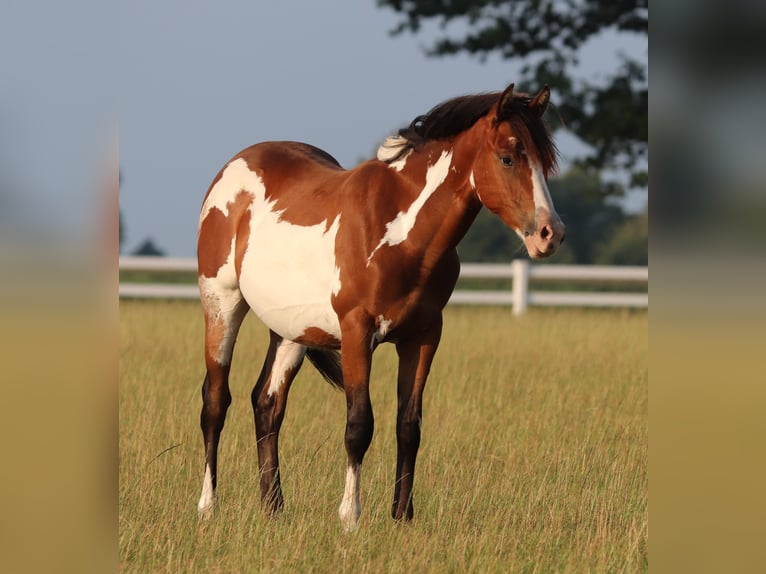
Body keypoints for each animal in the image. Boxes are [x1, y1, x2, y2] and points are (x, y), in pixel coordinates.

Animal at [195, 82, 565, 531]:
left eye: (544, 162)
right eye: (508, 157)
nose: (549, 233)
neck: (401, 233)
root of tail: (232, 168)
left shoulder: (424, 336)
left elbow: (409, 426)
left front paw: (402, 516)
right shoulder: (357, 331)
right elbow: (359, 425)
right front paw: (350, 517)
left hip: (289, 330)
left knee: (267, 404)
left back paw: (274, 509)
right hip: (222, 304)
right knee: (216, 401)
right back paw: (208, 507)